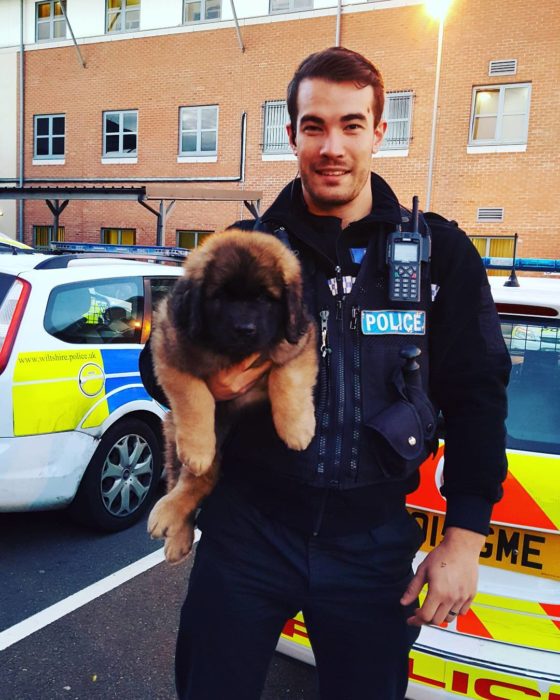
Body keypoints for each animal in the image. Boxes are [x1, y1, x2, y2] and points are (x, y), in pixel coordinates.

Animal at [147, 230, 318, 564]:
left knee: (203, 480)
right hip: (174, 432)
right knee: (188, 477)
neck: (231, 353)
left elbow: (285, 378)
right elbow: (195, 396)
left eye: (264, 299)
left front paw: (296, 430)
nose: (245, 329)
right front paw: (198, 450)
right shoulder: (170, 349)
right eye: (221, 297)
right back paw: (171, 524)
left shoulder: (300, 342)